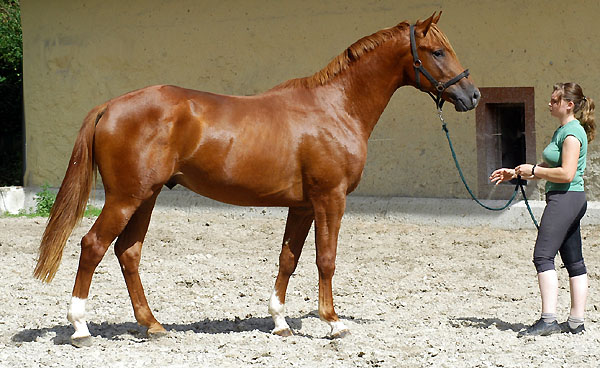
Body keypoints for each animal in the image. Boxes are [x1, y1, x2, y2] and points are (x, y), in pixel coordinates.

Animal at [35, 12, 480, 344]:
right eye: (438, 51)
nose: (471, 95)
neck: (335, 107)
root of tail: (109, 106)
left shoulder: (302, 206)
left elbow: (288, 259)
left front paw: (280, 322)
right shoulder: (330, 198)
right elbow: (326, 259)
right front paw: (333, 323)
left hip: (146, 196)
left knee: (128, 252)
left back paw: (153, 325)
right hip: (126, 197)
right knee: (93, 245)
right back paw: (80, 328)